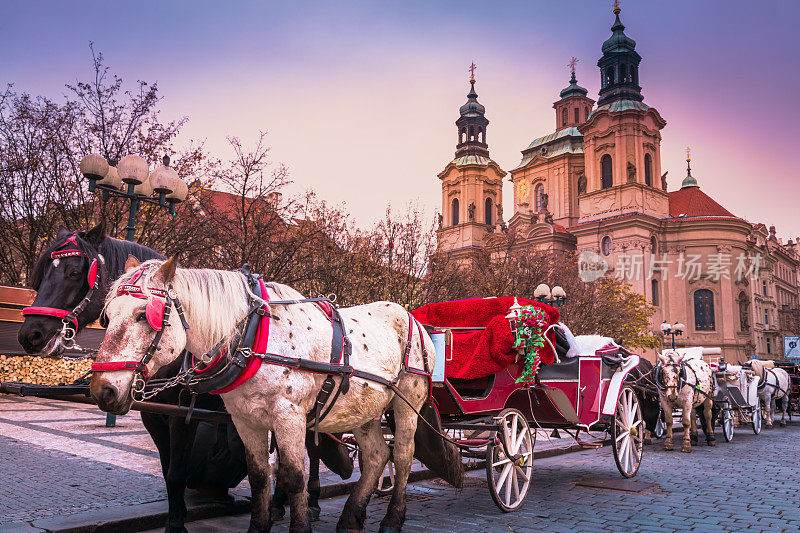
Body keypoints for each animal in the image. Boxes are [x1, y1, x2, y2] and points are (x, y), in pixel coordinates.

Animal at [16, 224, 350, 532]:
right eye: (42, 272)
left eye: (75, 272)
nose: (30, 334)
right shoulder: (154, 416)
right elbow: (168, 472)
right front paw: (176, 515)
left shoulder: (183, 416)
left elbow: (177, 470)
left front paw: (176, 524)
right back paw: (280, 503)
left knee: (312, 448)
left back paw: (312, 501)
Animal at [89, 258, 456, 532]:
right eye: (107, 316)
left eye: (144, 315)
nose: (103, 390)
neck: (253, 336)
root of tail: (412, 317)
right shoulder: (245, 419)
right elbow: (259, 476)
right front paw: (259, 525)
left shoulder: (288, 415)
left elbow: (293, 477)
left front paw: (301, 523)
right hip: (364, 409)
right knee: (377, 455)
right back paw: (351, 518)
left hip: (407, 403)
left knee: (403, 456)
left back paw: (392, 519)